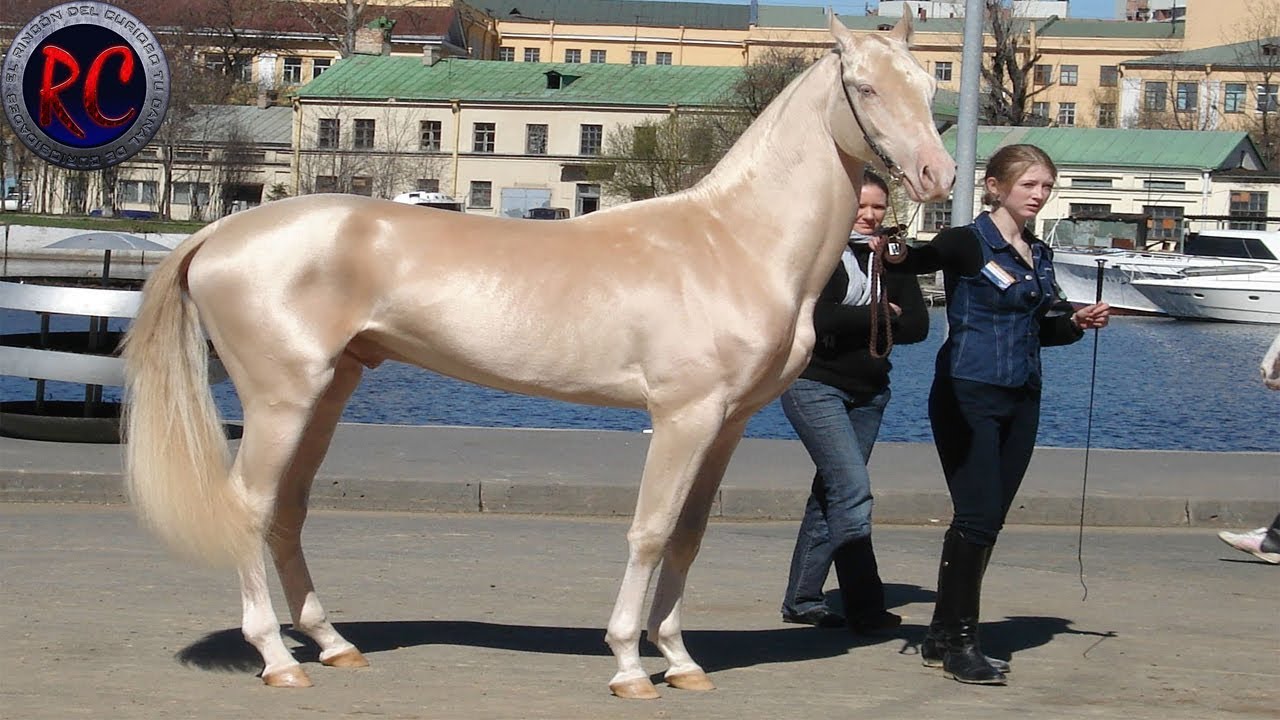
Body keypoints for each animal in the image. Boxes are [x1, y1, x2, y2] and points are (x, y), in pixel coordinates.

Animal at [124, 16, 957, 696]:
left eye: (926, 85)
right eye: (864, 87)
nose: (938, 176)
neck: (733, 242)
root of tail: (217, 234)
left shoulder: (727, 423)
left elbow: (688, 534)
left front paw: (681, 660)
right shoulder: (682, 416)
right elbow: (650, 530)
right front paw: (629, 665)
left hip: (326, 394)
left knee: (288, 511)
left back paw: (332, 644)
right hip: (280, 401)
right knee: (249, 507)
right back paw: (278, 658)